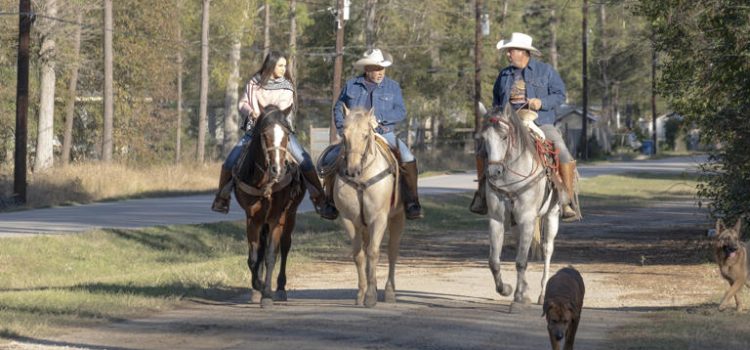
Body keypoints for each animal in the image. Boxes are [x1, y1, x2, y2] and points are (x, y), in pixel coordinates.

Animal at [234, 105, 306, 308]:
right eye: (264, 134)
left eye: (287, 134)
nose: (278, 169)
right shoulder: (252, 218)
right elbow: (253, 257)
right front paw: (257, 286)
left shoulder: (275, 218)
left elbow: (271, 255)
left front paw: (266, 294)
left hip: (290, 215)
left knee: (285, 246)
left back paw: (280, 289)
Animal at [334, 108, 406, 308]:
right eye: (344, 134)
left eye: (366, 135)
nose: (352, 170)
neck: (362, 176)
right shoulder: (349, 220)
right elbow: (359, 255)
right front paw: (362, 294)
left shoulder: (379, 218)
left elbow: (374, 253)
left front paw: (371, 297)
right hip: (364, 226)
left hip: (397, 218)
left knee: (392, 252)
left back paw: (389, 292)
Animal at [482, 104, 564, 306]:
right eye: (484, 139)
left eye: (504, 136)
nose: (494, 171)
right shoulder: (497, 219)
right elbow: (494, 261)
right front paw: (506, 289)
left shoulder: (527, 219)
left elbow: (521, 261)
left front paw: (519, 295)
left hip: (551, 215)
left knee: (547, 249)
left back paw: (542, 294)